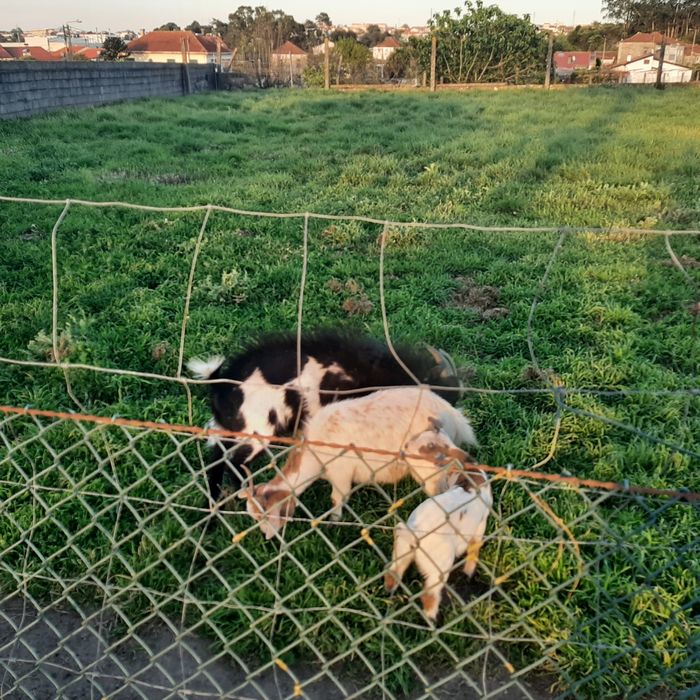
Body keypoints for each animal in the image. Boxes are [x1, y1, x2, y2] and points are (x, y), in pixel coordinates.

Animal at [187, 330, 463, 506]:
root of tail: (220, 386)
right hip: (257, 430)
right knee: (236, 462)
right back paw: (247, 496)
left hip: (227, 430)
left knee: (217, 461)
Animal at [238, 387, 477, 539]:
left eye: (264, 514)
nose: (267, 537)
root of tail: (456, 417)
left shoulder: (340, 473)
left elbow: (338, 498)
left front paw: (334, 522)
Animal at [384, 430, 491, 622]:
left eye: (431, 446)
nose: (406, 446)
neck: (470, 478)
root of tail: (415, 534)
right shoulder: (481, 525)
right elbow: (474, 549)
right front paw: (468, 574)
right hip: (439, 567)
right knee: (430, 595)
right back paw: (433, 621)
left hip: (402, 549)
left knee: (394, 572)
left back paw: (389, 592)